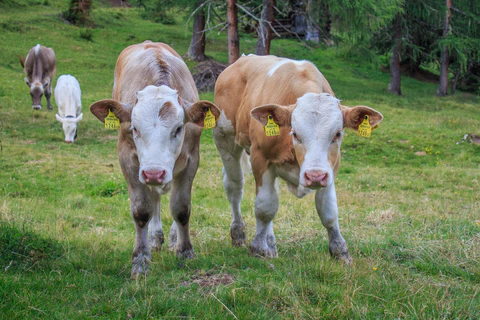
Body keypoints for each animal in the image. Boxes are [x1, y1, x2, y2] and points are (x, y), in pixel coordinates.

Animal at [89, 40, 220, 278]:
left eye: (178, 129)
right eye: (134, 128)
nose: (154, 173)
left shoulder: (191, 160)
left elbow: (181, 208)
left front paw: (185, 251)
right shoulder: (129, 162)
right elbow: (142, 210)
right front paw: (140, 260)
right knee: (155, 197)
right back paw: (154, 237)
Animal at [213, 55, 382, 264]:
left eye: (337, 134)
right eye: (295, 133)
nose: (315, 176)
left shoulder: (330, 169)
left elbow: (328, 211)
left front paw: (340, 251)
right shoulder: (261, 158)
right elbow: (264, 208)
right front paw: (258, 248)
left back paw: (271, 242)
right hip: (225, 139)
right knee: (235, 186)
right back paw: (238, 232)